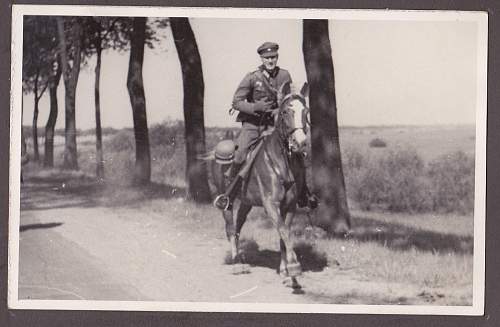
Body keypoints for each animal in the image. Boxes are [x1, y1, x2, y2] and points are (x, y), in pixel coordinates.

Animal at [212, 82, 312, 290]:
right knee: (230, 228)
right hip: (227, 200)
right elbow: (283, 230)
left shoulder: (290, 206)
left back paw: (241, 260)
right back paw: (236, 264)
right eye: (285, 112)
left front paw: (285, 272)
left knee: (238, 226)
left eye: (305, 111)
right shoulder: (270, 204)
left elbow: (284, 234)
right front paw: (294, 267)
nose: (301, 143)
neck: (282, 163)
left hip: (246, 202)